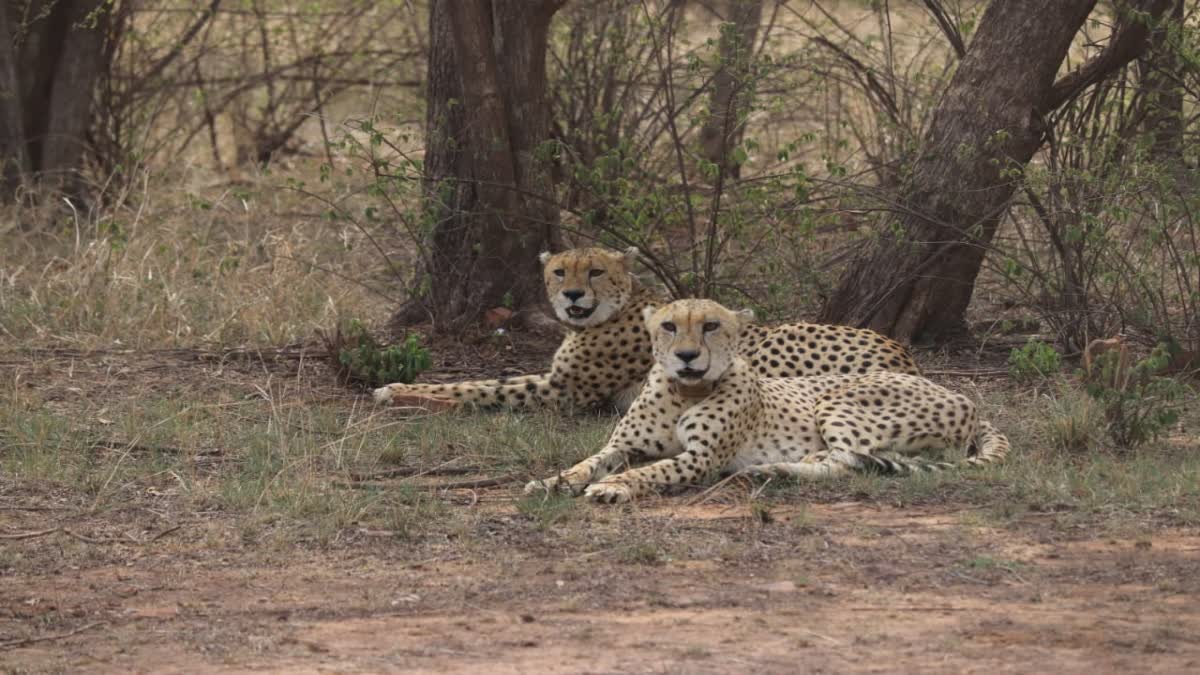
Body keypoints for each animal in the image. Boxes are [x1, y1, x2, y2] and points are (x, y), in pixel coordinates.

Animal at [374, 247, 916, 413]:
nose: (572, 296)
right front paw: (399, 386)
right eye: (560, 272)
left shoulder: (565, 391)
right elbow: (485, 381)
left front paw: (398, 392)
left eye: (594, 271)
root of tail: (901, 353)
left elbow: (481, 388)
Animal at [530, 297, 1008, 499]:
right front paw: (552, 481)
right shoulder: (622, 445)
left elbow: (653, 470)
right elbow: (587, 462)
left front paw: (614, 487)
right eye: (669, 326)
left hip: (838, 398)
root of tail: (961, 396)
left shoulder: (702, 458)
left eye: (710, 326)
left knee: (849, 460)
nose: (687, 356)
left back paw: (773, 469)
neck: (685, 390)